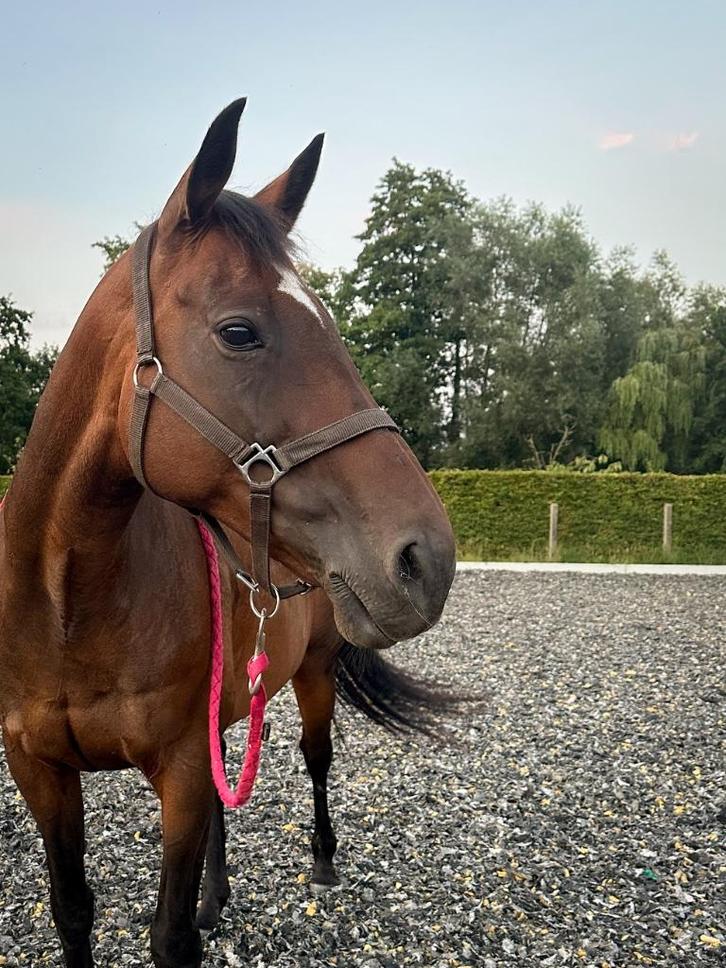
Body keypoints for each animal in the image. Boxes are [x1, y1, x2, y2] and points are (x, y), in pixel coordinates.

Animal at [0, 99, 456, 968]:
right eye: (239, 332)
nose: (427, 560)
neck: (70, 604)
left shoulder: (178, 766)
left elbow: (170, 934)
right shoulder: (38, 769)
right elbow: (72, 910)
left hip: (312, 677)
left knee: (315, 759)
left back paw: (321, 861)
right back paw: (220, 895)